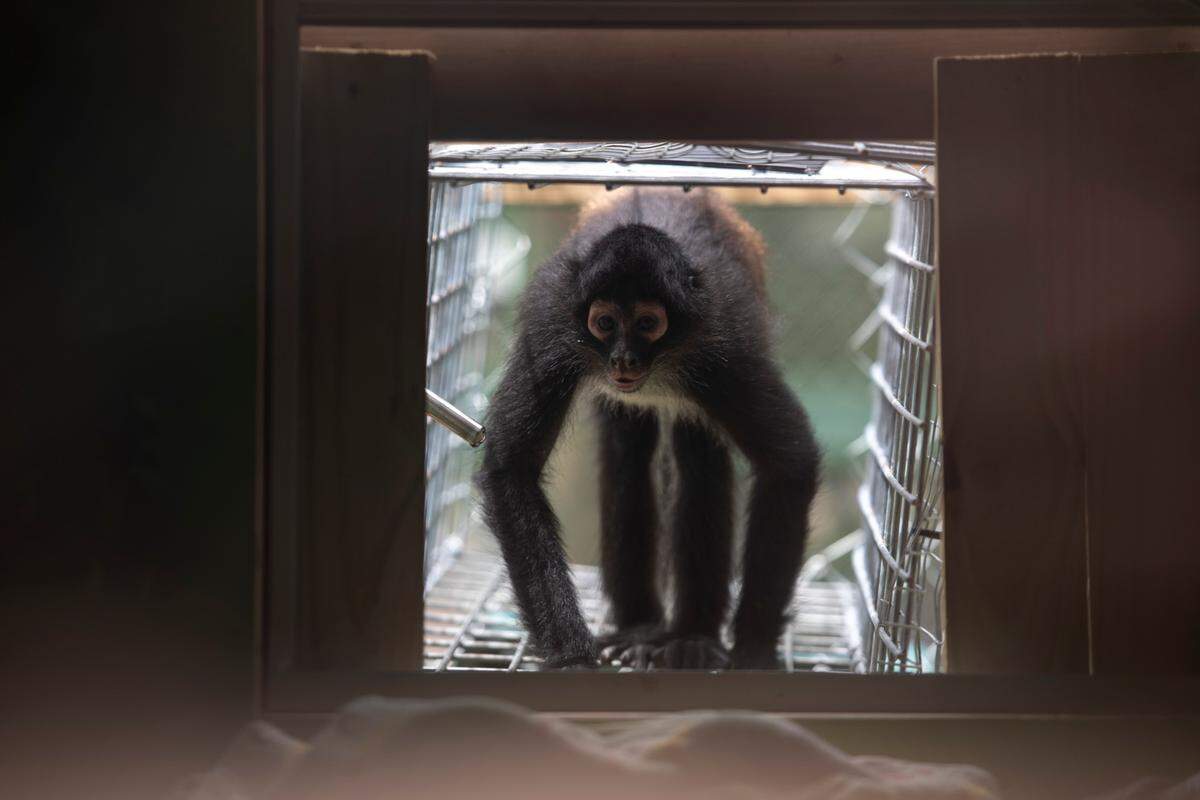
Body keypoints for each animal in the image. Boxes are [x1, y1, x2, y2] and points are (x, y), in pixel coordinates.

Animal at [477, 187, 819, 670]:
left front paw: (752, 651)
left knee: (696, 459)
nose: (624, 359)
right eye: (605, 323)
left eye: (647, 324)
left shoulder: (726, 343)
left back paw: (693, 637)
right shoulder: (550, 322)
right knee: (630, 455)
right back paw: (639, 630)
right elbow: (513, 470)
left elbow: (790, 463)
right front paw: (571, 659)